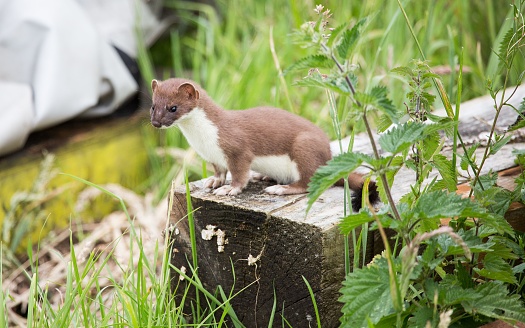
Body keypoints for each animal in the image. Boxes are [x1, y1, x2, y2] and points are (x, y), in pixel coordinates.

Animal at [150, 77, 376, 211]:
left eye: (173, 107)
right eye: (153, 106)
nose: (156, 123)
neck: (203, 140)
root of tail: (328, 158)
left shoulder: (238, 150)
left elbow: (239, 174)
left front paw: (229, 189)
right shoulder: (214, 157)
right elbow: (220, 171)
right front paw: (214, 182)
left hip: (304, 147)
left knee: (307, 182)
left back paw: (280, 189)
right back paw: (264, 176)